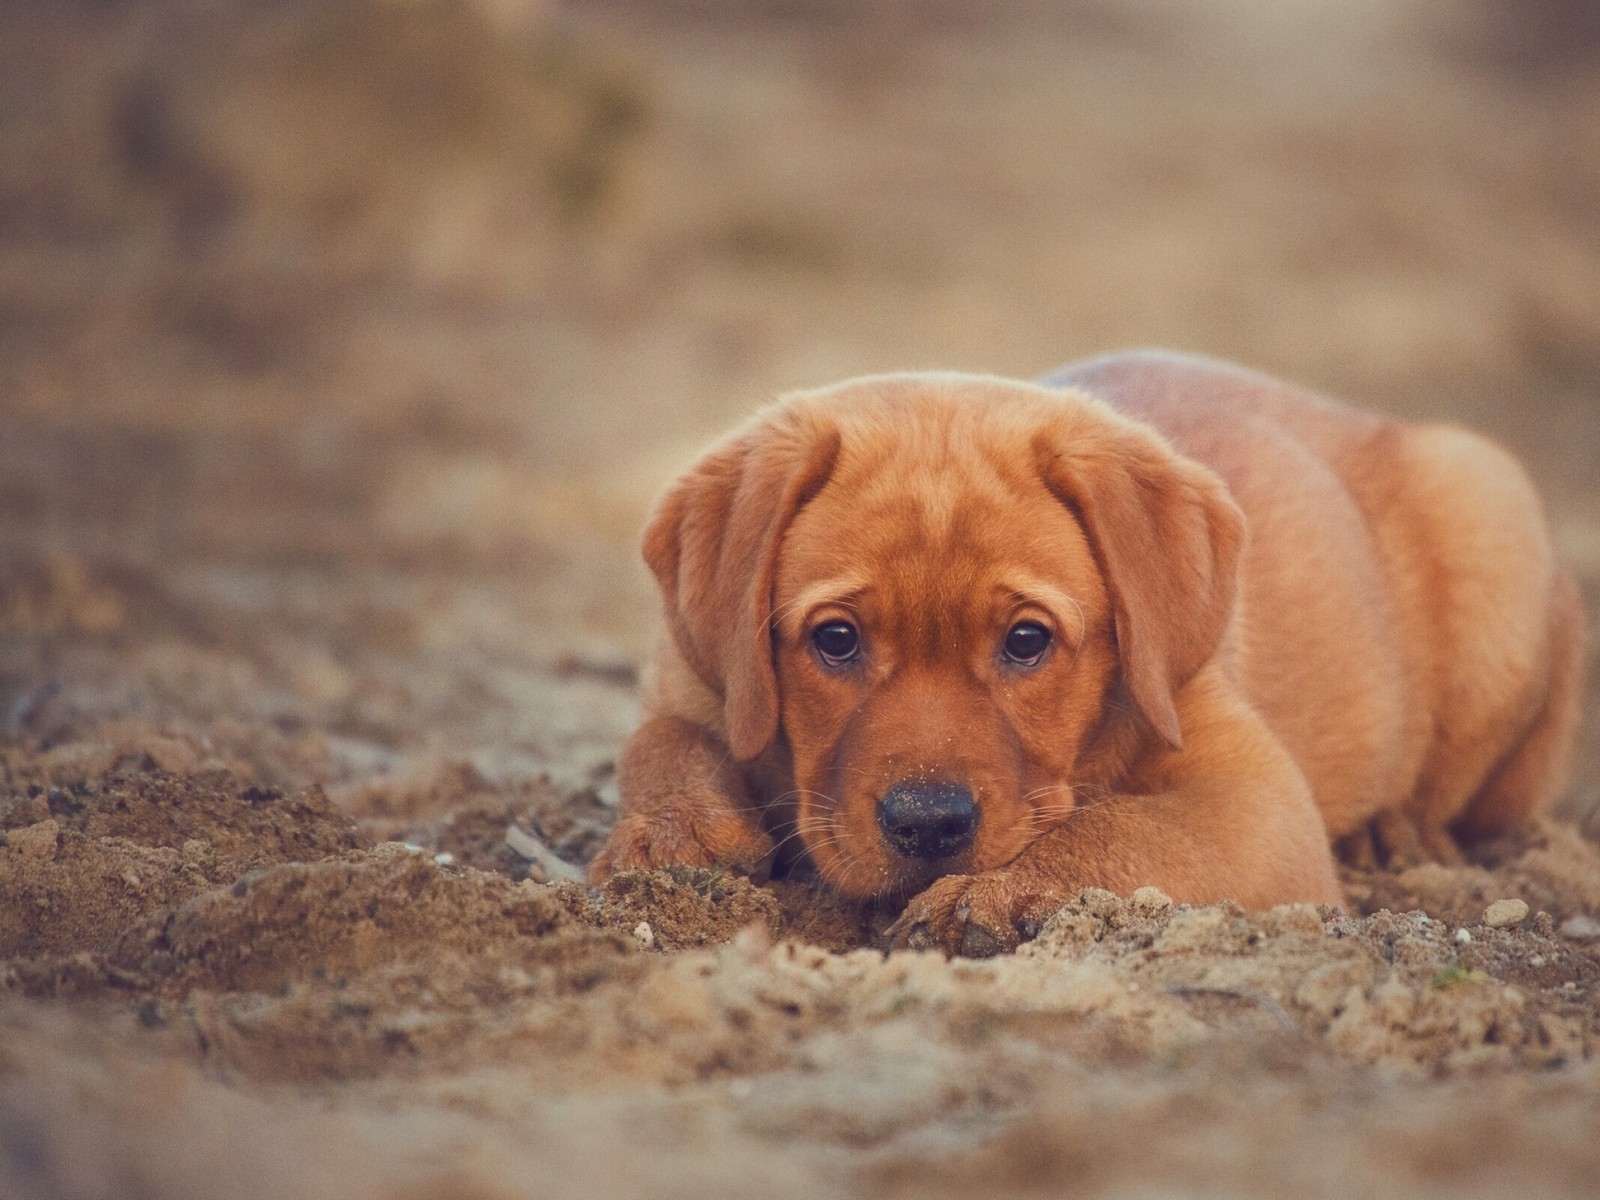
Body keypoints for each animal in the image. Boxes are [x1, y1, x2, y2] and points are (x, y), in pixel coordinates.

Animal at [592, 350, 1587, 960]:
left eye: (1027, 641)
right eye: (835, 640)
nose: (928, 826)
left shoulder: (1257, 805)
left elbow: (1119, 830)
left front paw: (992, 891)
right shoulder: (688, 678)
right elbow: (652, 741)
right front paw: (674, 833)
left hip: (1487, 507)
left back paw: (1395, 832)